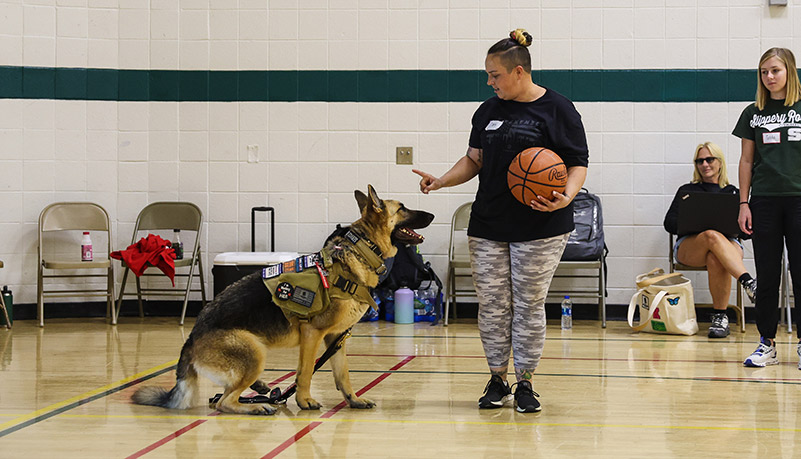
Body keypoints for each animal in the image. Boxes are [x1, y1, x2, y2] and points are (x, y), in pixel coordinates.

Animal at [133, 185, 432, 416]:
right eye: (402, 208)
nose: (432, 213)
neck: (361, 251)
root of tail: (191, 340)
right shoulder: (313, 334)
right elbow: (305, 371)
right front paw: (304, 401)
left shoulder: (335, 339)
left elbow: (343, 374)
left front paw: (353, 400)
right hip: (255, 349)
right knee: (225, 402)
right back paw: (257, 406)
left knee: (227, 393)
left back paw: (261, 389)